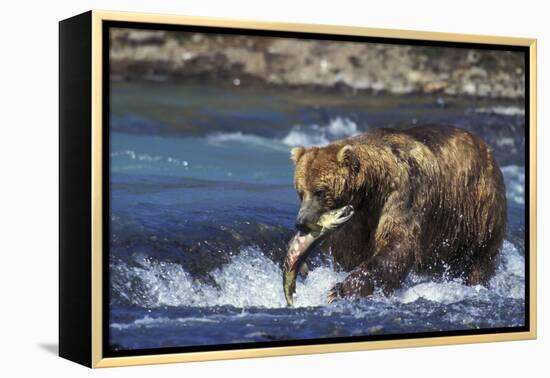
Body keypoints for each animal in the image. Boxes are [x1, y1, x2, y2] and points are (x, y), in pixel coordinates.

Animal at [294, 125, 508, 302]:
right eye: (300, 192)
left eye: (319, 191)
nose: (301, 221)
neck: (372, 189)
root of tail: (487, 148)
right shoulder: (359, 216)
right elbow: (348, 249)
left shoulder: (402, 195)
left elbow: (398, 244)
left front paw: (340, 290)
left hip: (478, 210)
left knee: (481, 257)